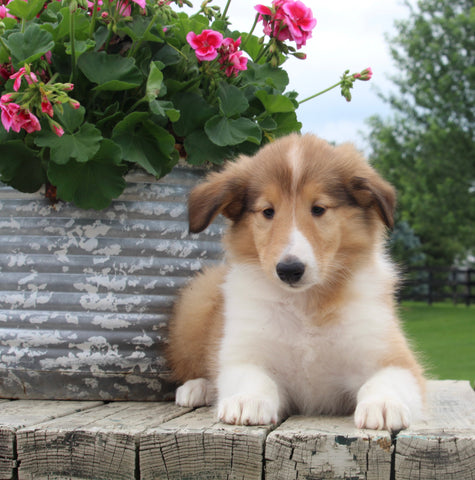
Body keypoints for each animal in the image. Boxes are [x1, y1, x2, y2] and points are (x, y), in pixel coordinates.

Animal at [166, 133, 424, 434]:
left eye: (318, 209)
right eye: (267, 211)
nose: (289, 270)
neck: (305, 305)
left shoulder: (393, 358)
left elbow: (386, 379)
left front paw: (383, 404)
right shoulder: (243, 354)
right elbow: (253, 377)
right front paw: (247, 401)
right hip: (194, 305)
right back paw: (198, 388)